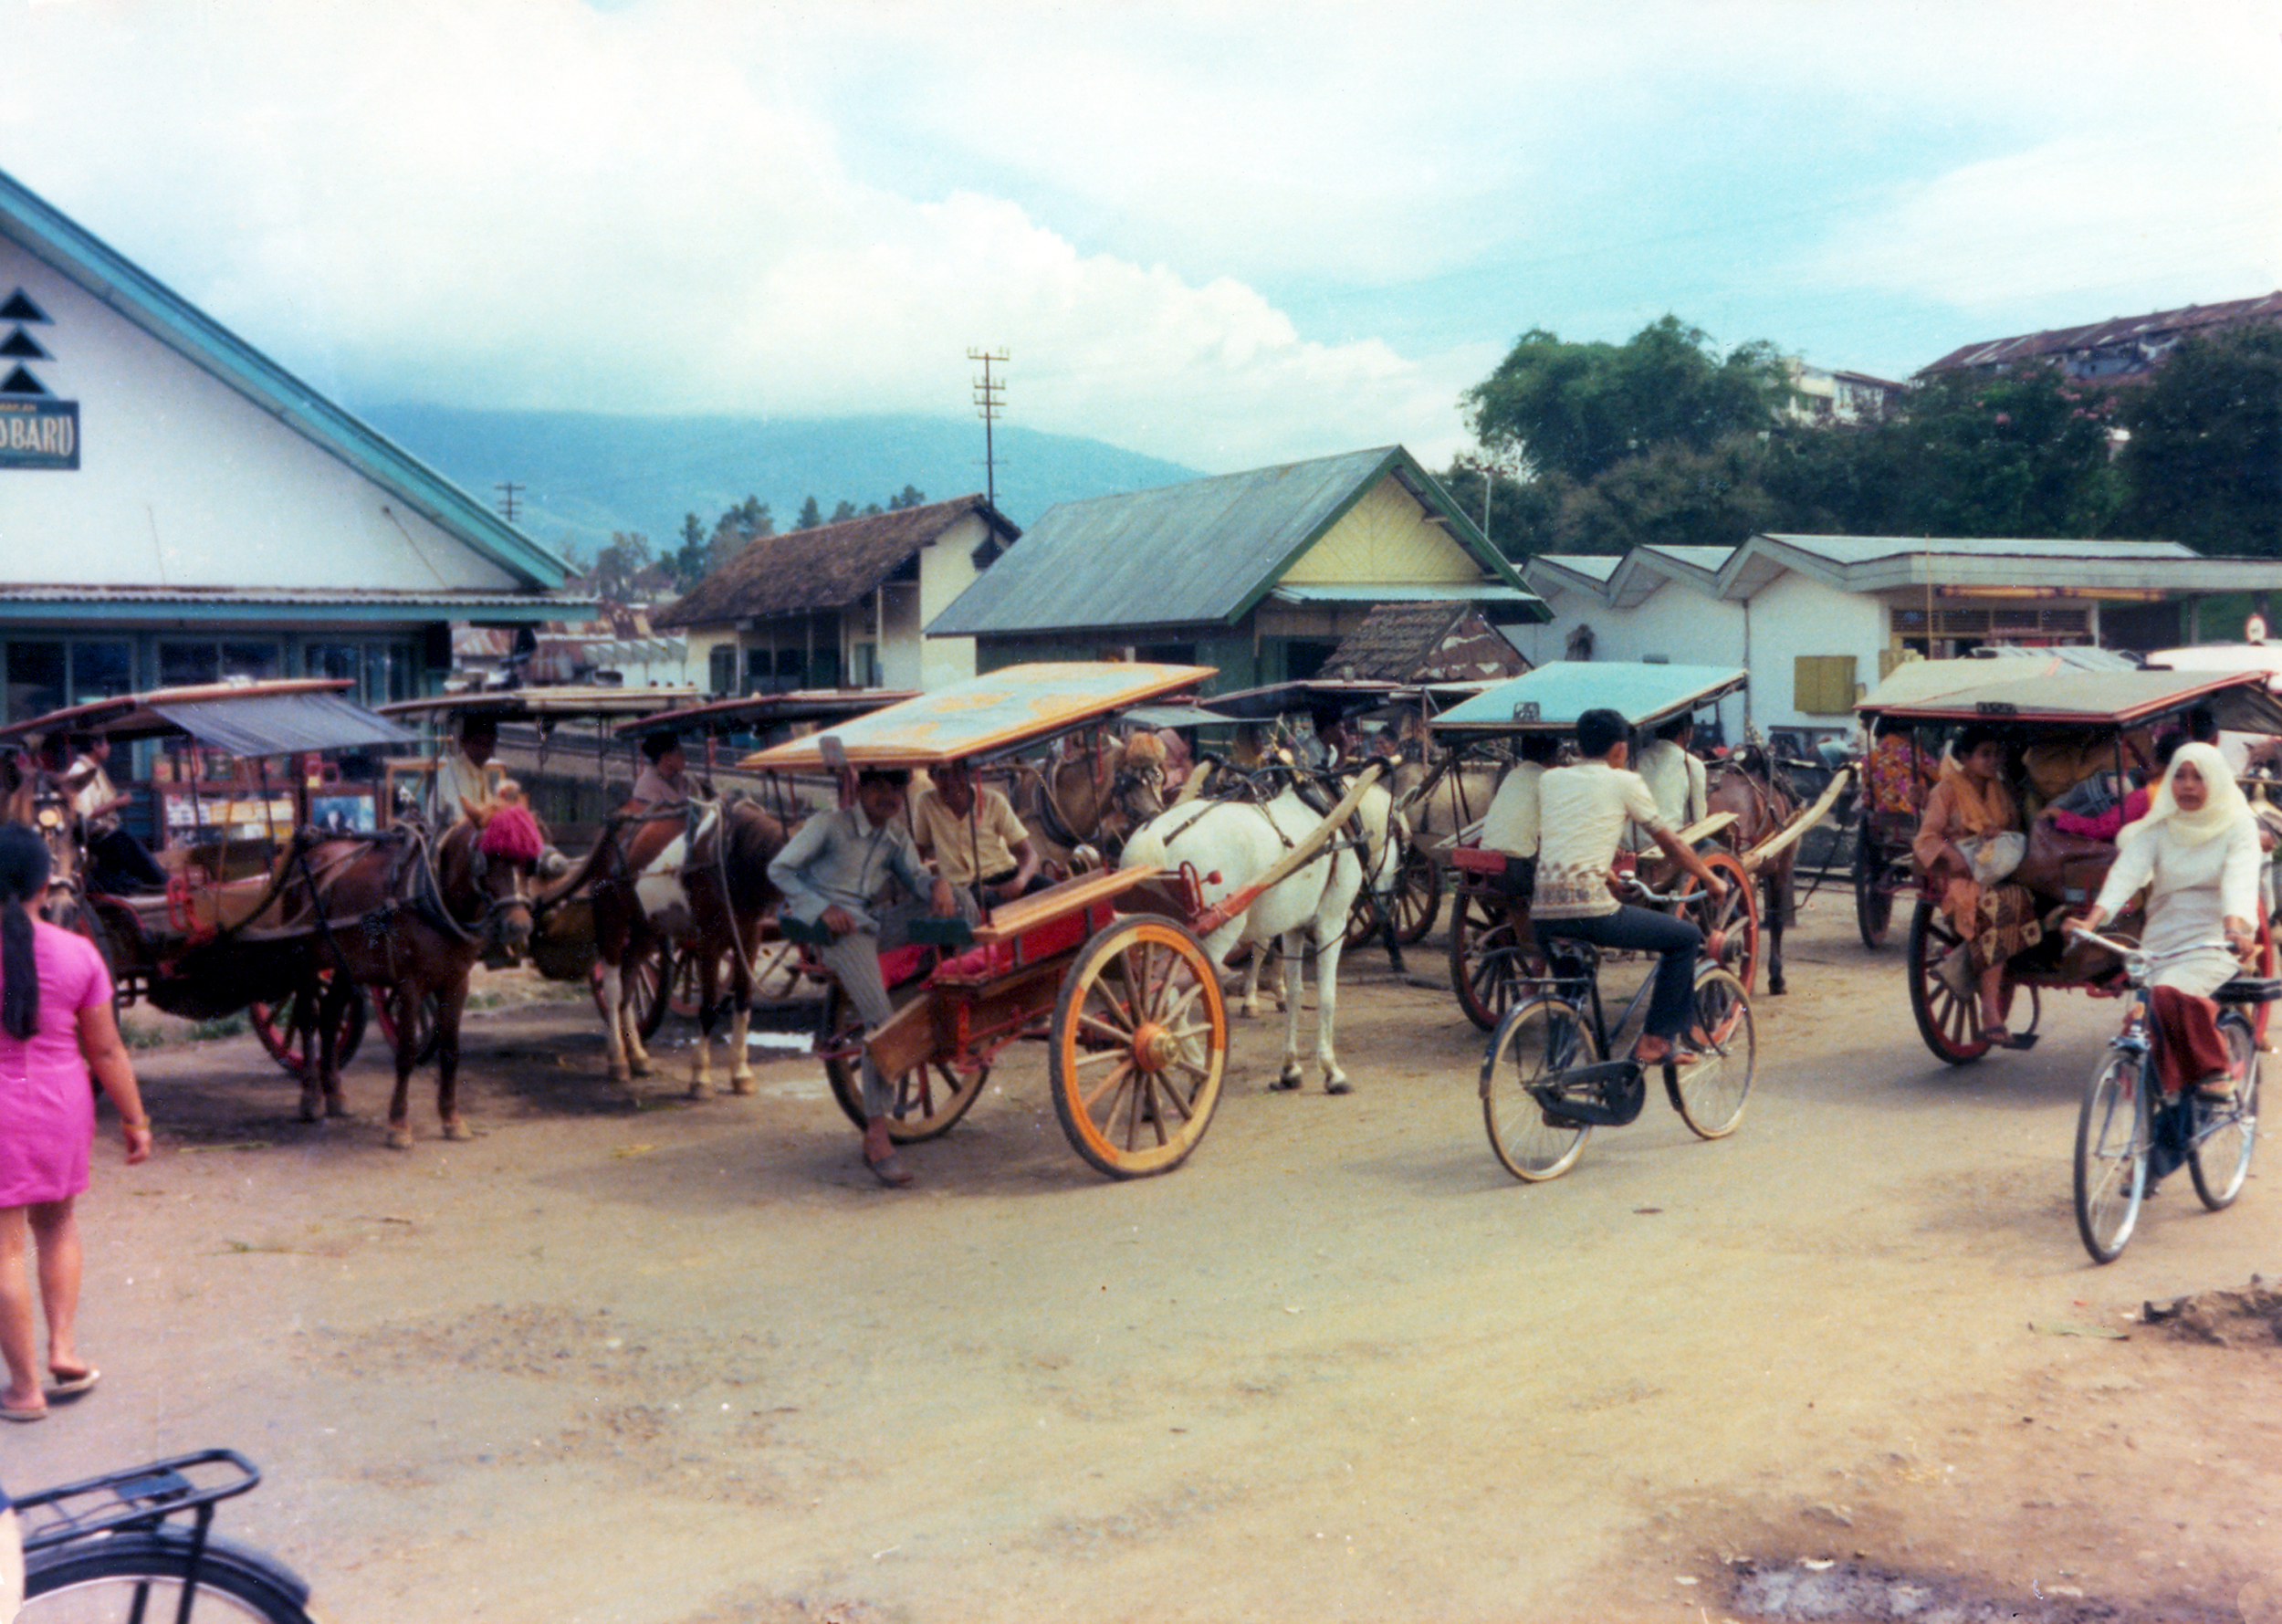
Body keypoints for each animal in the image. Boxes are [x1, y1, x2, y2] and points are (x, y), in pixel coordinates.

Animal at [277, 807, 539, 1140]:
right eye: (490, 857)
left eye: (529, 862)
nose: (519, 926)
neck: (434, 893)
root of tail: (311, 853)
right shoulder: (411, 985)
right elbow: (405, 1052)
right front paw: (399, 1124)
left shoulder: (457, 982)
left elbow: (450, 1050)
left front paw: (452, 1118)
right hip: (306, 961)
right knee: (308, 1019)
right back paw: (311, 1097)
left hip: (348, 964)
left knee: (331, 1016)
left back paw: (335, 1094)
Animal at [557, 798, 790, 1090]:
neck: (729, 852)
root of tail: (616, 821)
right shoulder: (708, 941)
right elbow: (709, 1007)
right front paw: (700, 1075)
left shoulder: (749, 937)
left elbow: (744, 1000)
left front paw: (740, 1072)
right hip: (611, 918)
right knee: (613, 989)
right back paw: (618, 1058)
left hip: (646, 927)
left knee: (629, 982)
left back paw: (637, 1054)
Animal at [1118, 784, 1397, 1099]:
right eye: (1398, 836)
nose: (1388, 903)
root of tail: (1155, 837)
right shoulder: (1331, 923)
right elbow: (1327, 997)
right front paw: (1331, 1071)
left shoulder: (1295, 928)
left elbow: (1295, 993)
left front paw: (1290, 1069)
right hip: (1213, 937)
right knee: (1172, 1006)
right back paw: (1195, 1069)